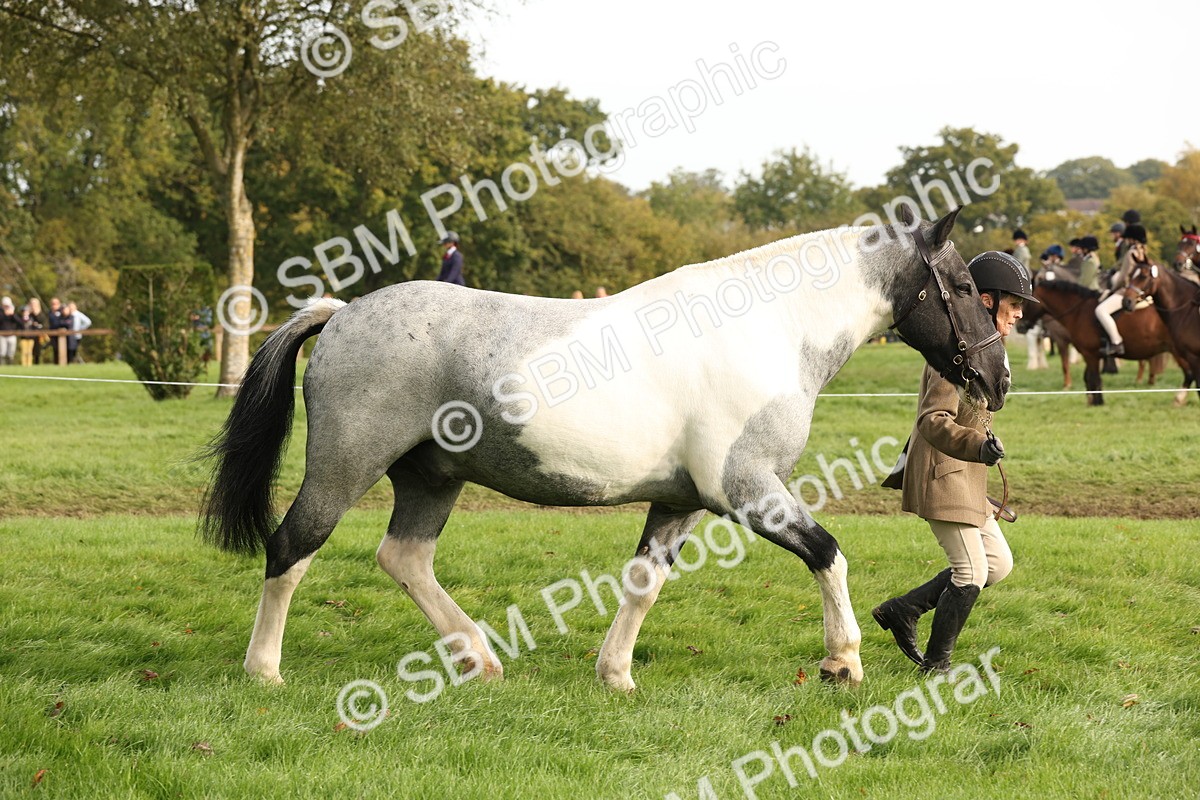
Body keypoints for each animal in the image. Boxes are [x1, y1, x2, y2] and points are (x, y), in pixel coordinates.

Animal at [201, 207, 1009, 692]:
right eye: (964, 286)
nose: (996, 378)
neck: (772, 330)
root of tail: (341, 314)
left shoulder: (682, 501)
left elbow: (644, 582)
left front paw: (615, 674)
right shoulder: (747, 490)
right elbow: (829, 554)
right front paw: (843, 660)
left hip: (431, 479)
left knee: (404, 559)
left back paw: (478, 657)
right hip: (344, 468)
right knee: (292, 548)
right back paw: (264, 671)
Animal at [1031, 272, 1187, 405]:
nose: (1024, 326)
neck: (1079, 311)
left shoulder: (1089, 353)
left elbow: (1093, 378)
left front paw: (1097, 402)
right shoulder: (1090, 354)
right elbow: (1087, 376)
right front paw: (1091, 400)